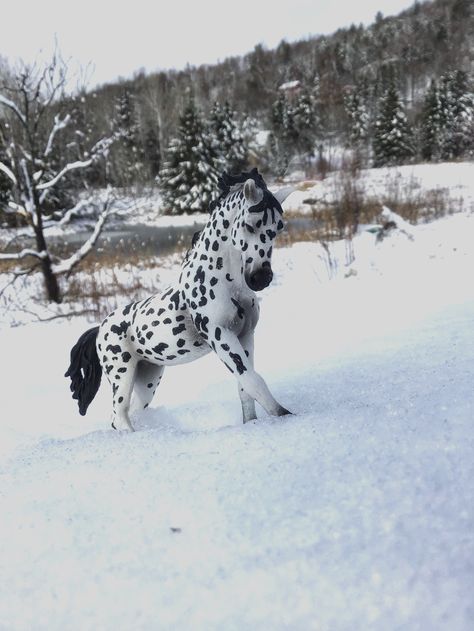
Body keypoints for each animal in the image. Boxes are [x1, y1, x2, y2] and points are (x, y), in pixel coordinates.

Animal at [65, 170, 292, 432]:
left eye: (279, 227)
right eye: (249, 224)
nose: (260, 278)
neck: (226, 283)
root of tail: (100, 328)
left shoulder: (245, 335)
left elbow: (245, 385)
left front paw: (253, 424)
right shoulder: (221, 336)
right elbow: (254, 381)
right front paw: (285, 415)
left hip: (148, 376)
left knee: (130, 412)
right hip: (121, 372)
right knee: (119, 416)